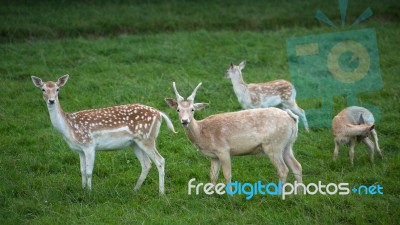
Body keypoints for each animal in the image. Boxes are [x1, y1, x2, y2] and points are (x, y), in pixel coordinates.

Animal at [31, 74, 175, 193]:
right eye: (43, 89)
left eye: (57, 89)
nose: (51, 100)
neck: (69, 127)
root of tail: (159, 114)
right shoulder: (79, 149)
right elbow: (82, 170)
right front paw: (83, 188)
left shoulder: (89, 144)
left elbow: (89, 171)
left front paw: (89, 192)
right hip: (135, 143)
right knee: (146, 164)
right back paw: (135, 189)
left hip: (147, 138)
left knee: (160, 161)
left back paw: (161, 193)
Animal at [164, 81, 302, 187]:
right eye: (178, 110)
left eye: (192, 109)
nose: (185, 121)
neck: (202, 134)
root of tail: (292, 118)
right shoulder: (214, 156)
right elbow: (212, 176)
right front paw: (211, 195)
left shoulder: (223, 150)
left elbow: (227, 175)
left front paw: (230, 197)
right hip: (287, 145)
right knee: (297, 166)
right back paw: (299, 194)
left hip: (274, 145)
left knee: (283, 170)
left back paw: (279, 194)